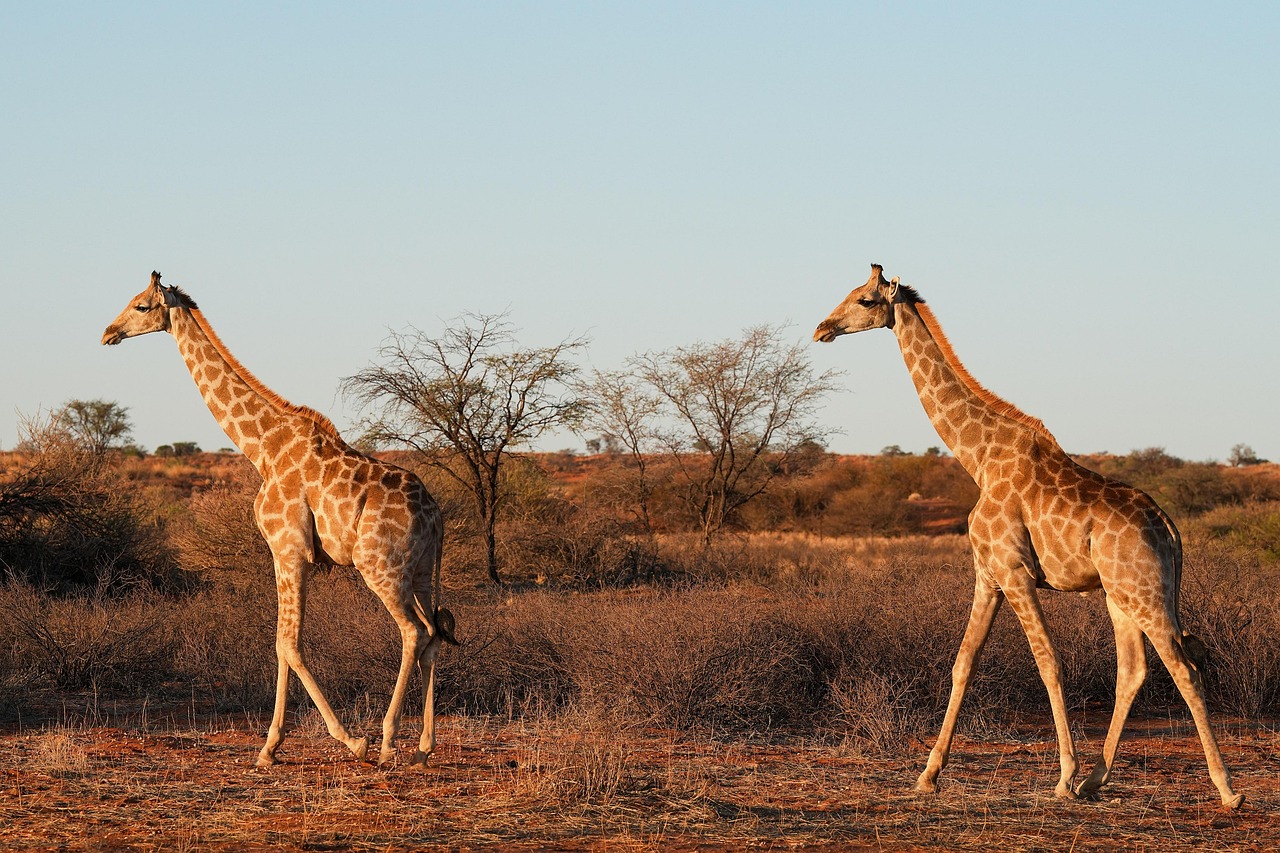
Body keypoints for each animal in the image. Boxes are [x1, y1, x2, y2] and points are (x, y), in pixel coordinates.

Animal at [102, 271, 457, 767]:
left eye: (140, 305)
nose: (108, 333)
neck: (262, 448)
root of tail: (435, 514)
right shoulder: (290, 553)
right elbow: (281, 641)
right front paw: (272, 746)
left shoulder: (288, 548)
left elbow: (287, 642)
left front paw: (341, 740)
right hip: (422, 568)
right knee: (434, 635)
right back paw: (424, 747)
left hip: (379, 565)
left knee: (413, 631)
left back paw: (387, 740)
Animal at [814, 264, 1243, 809]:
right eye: (849, 293)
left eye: (865, 300)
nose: (822, 328)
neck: (977, 457)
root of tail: (1169, 528)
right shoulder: (987, 574)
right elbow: (964, 662)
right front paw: (928, 774)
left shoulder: (1015, 571)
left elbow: (1048, 662)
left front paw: (1061, 776)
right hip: (1122, 593)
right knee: (1134, 669)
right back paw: (1096, 779)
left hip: (1143, 591)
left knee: (1183, 669)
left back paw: (1226, 789)